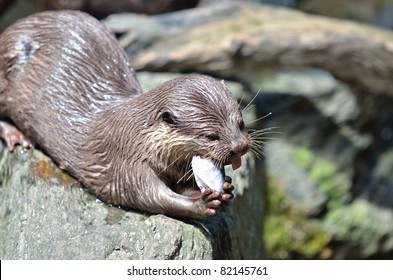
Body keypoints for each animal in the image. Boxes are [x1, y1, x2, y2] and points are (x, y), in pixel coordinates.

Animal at [0, 10, 251, 219]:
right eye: (210, 136)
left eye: (241, 124)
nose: (240, 147)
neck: (141, 137)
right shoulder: (127, 163)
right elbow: (150, 197)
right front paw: (201, 204)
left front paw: (225, 186)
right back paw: (16, 136)